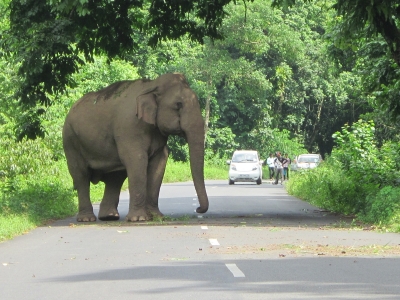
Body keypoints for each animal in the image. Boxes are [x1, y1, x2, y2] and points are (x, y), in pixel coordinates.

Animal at [62, 73, 209, 221]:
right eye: (178, 105)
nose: (198, 209)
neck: (151, 85)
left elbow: (159, 162)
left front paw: (156, 217)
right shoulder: (129, 127)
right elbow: (137, 160)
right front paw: (139, 219)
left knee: (115, 178)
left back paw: (109, 216)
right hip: (70, 140)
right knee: (81, 175)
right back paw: (87, 219)